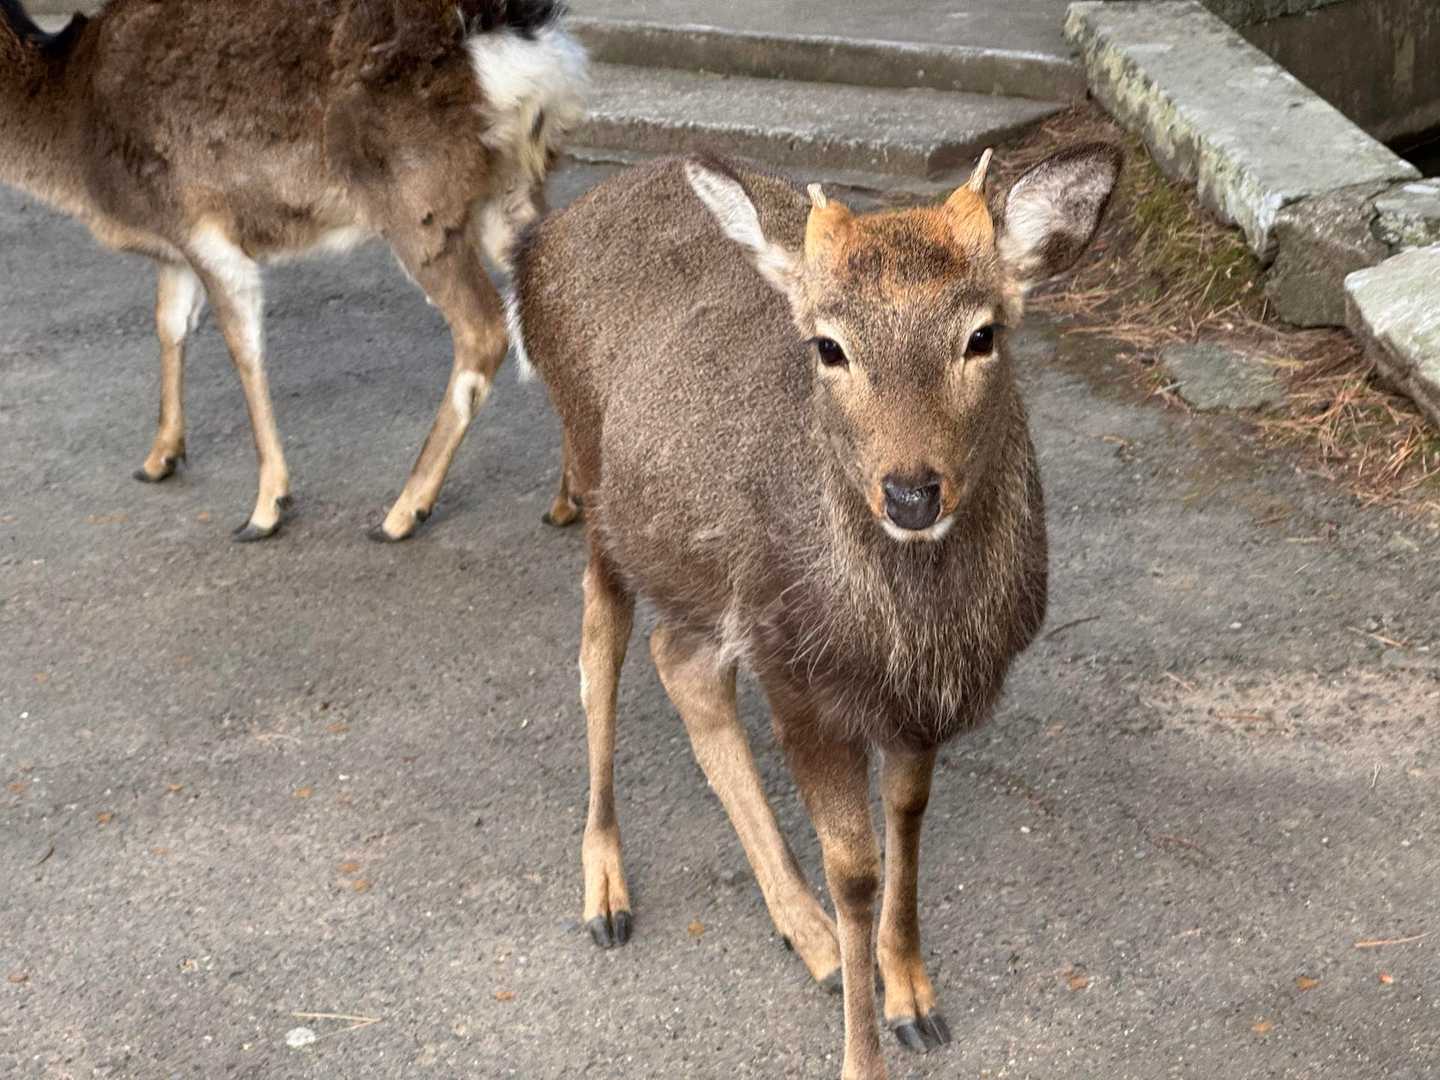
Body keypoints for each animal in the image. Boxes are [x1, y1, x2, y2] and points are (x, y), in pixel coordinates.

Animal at [0, 0, 586, 541]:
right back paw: (567, 500)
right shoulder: (173, 247)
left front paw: (266, 507)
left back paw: (403, 511)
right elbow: (169, 325)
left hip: (417, 198)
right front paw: (159, 457)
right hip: (512, 190)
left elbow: (244, 349)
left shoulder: (204, 230)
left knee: (484, 327)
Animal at [511, 143, 1120, 1078]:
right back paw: (607, 890)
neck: (913, 639)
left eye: (982, 334)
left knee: (678, 660)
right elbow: (855, 868)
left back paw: (814, 939)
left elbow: (907, 818)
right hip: (596, 481)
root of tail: (538, 243)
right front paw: (864, 1050)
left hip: (706, 572)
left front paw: (912, 996)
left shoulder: (911, 703)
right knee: (600, 646)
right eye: (829, 346)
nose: (911, 491)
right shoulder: (799, 677)